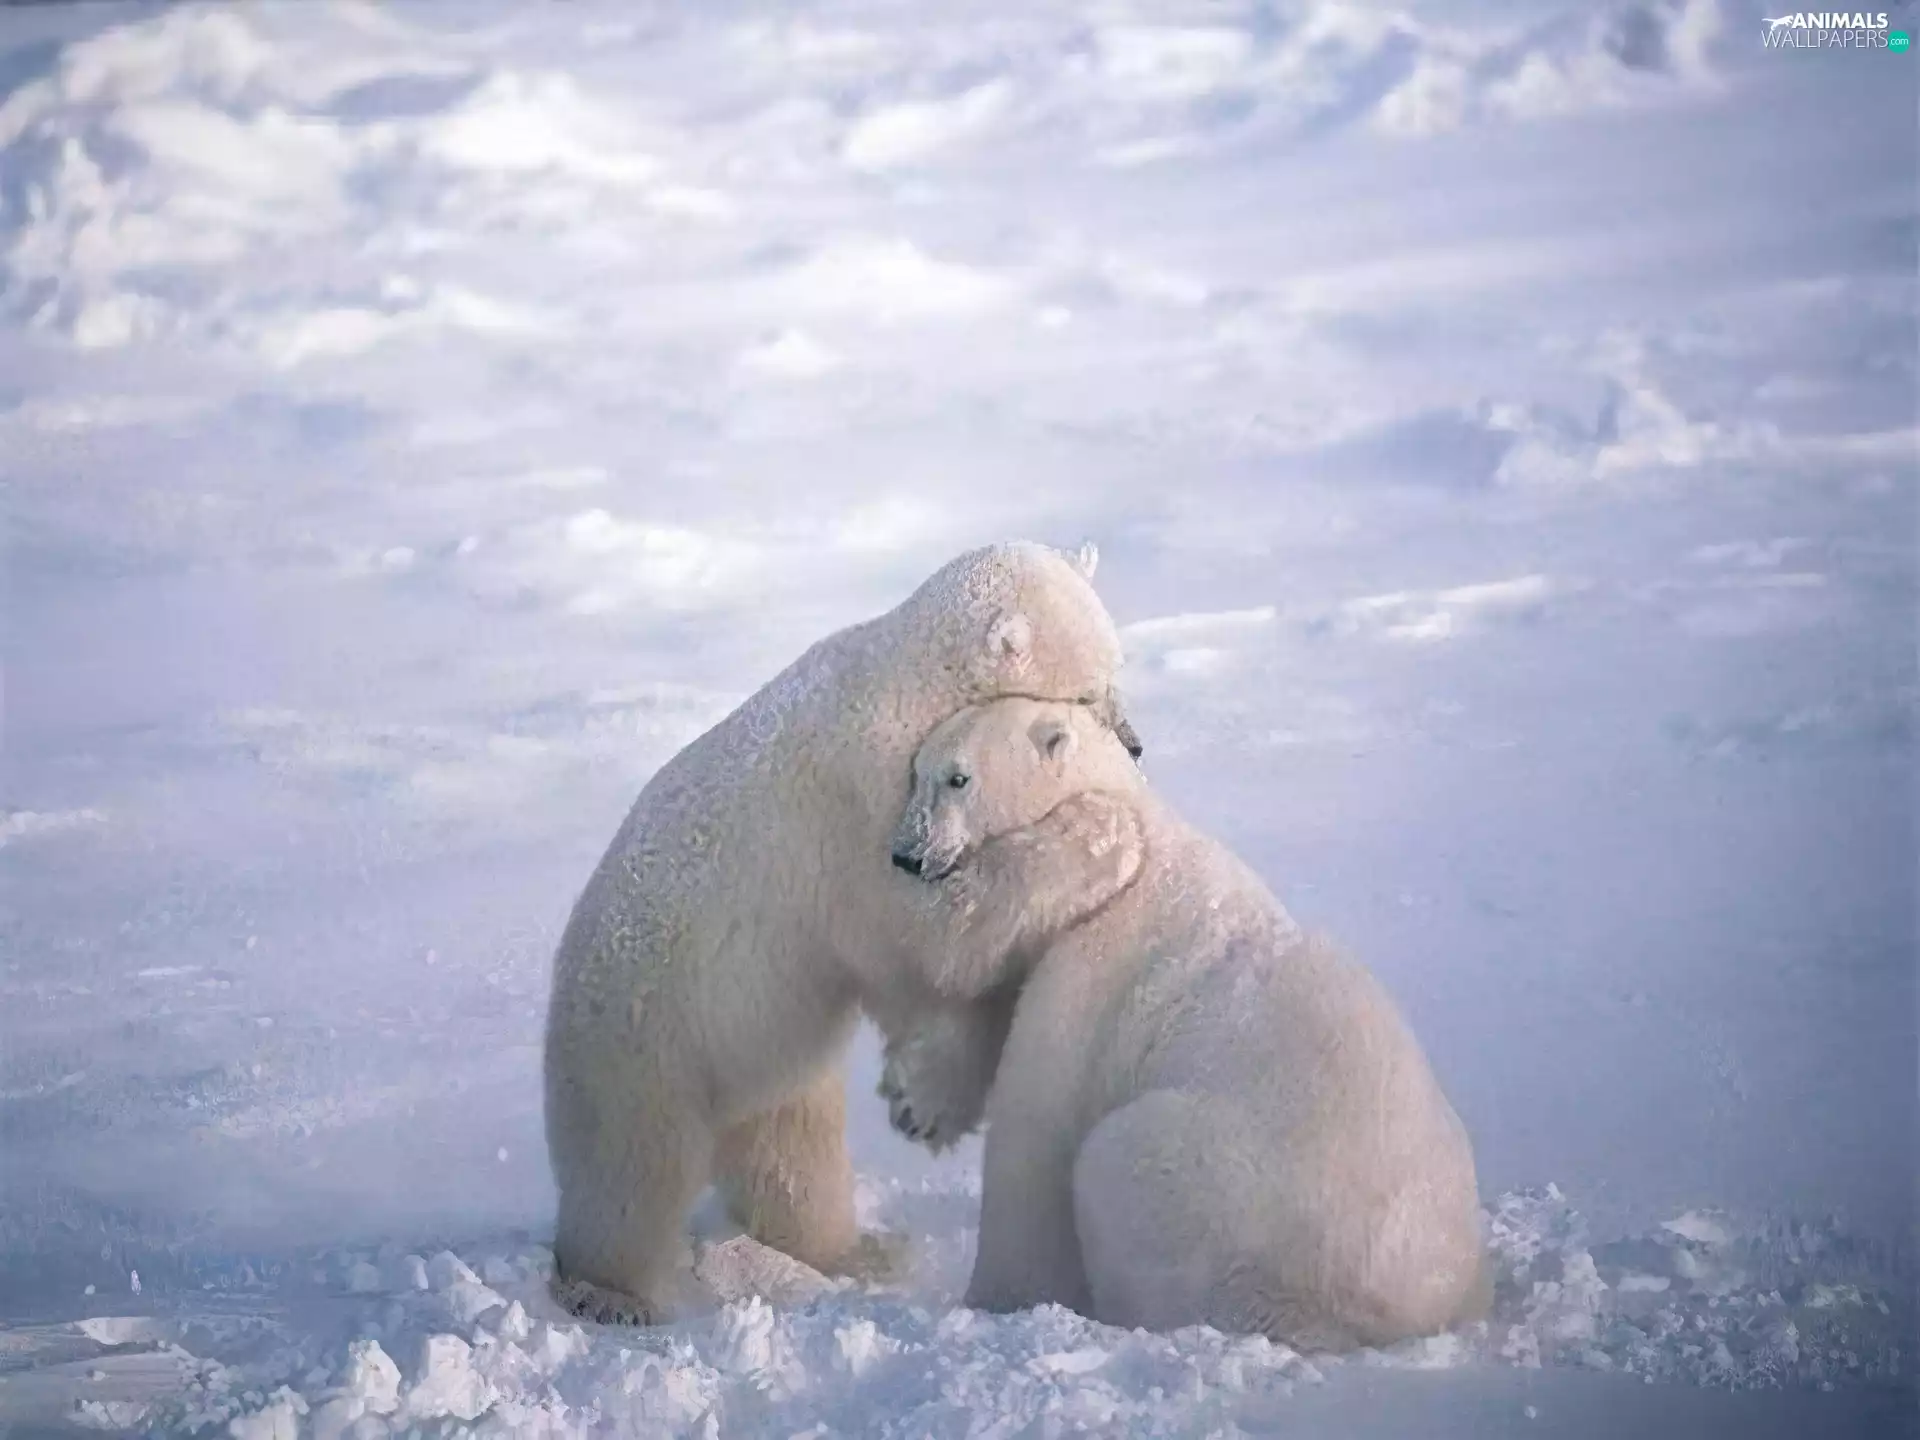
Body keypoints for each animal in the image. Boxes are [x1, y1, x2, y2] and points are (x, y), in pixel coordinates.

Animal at [542, 541, 1146, 1324]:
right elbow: (930, 924)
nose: (1135, 745)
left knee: (791, 1154)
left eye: (1115, 670)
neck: (910, 679)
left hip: (763, 1053)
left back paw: (858, 1252)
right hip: (640, 1035)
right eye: (1086, 690)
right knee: (628, 1170)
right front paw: (1103, 834)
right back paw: (608, 1293)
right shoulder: (862, 800)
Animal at [883, 696, 1492, 1353]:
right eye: (916, 772)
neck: (1138, 836)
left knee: (1116, 1167)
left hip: (1223, 1194)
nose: (906, 855)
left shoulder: (1093, 970)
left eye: (958, 778)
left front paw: (997, 1298)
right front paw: (914, 1100)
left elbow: (1036, 1126)